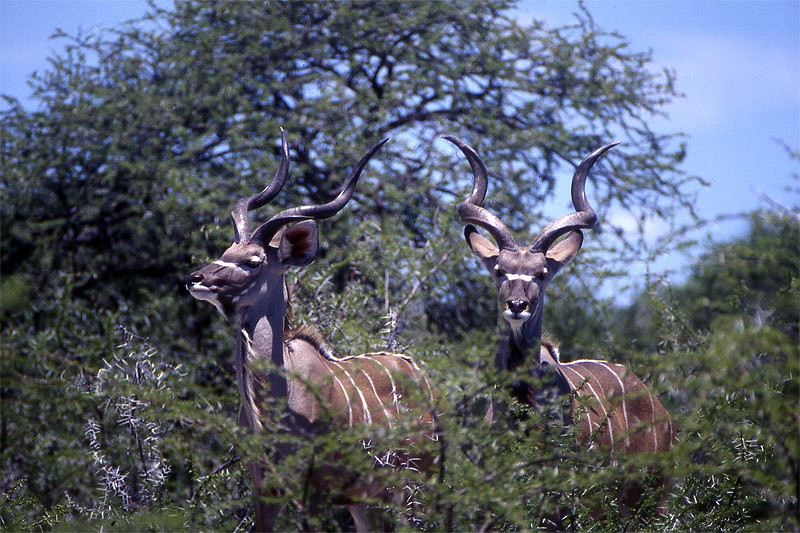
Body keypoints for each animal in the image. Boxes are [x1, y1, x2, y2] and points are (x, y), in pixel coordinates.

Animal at [187, 130, 434, 532]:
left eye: (253, 260)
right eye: (225, 250)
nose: (196, 278)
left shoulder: (314, 491)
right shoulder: (265, 488)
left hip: (413, 486)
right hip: (366, 500)